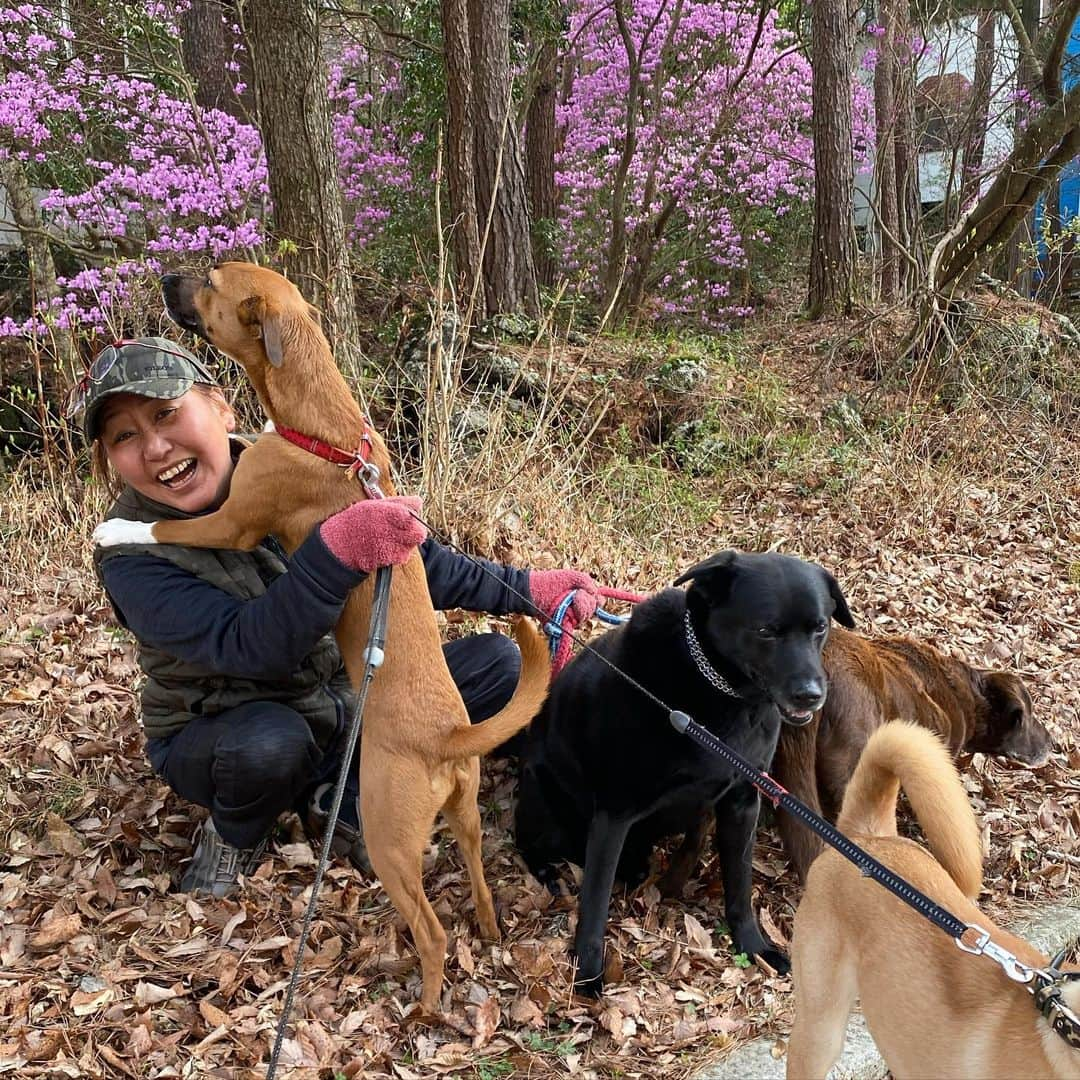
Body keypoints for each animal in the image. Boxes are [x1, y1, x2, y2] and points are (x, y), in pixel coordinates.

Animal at [91, 261, 548, 1010]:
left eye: (211, 278)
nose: (166, 274)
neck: (322, 426)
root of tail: (447, 738)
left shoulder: (231, 521)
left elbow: (163, 525)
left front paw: (114, 529)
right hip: (469, 819)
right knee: (480, 890)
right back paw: (486, 933)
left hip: (393, 840)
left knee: (432, 933)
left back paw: (424, 1010)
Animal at [511, 552, 851, 989]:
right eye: (765, 631)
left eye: (820, 627)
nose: (811, 694)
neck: (721, 696)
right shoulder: (614, 813)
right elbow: (595, 902)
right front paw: (587, 975)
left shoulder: (742, 803)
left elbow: (740, 884)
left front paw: (754, 946)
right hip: (544, 804)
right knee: (530, 844)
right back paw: (549, 872)